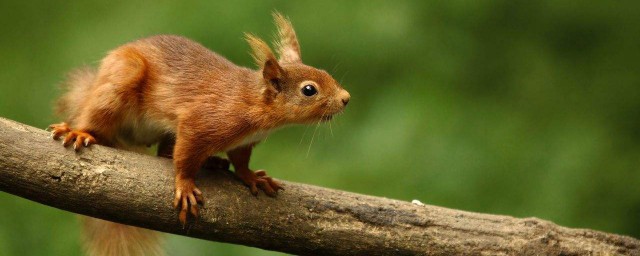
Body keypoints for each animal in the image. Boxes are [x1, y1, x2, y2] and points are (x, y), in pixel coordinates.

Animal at [48, 11, 350, 254]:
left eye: (325, 72)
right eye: (309, 90)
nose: (346, 98)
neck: (254, 104)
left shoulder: (244, 142)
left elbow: (240, 161)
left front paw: (251, 176)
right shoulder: (201, 122)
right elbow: (185, 157)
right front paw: (185, 185)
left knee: (164, 152)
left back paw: (213, 162)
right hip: (121, 80)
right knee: (99, 117)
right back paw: (79, 131)